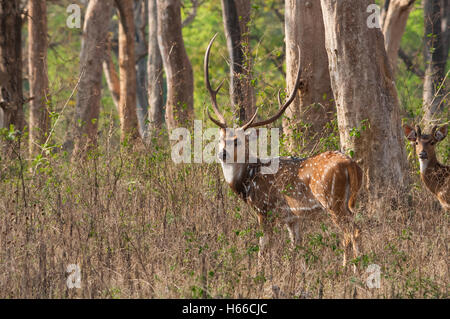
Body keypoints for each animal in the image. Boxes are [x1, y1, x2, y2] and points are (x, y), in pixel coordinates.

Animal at [204, 35, 362, 268]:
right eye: (220, 139)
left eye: (238, 141)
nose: (222, 153)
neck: (248, 181)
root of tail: (350, 165)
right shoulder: (292, 217)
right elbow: (297, 247)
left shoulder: (264, 210)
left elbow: (263, 249)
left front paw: (261, 273)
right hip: (351, 200)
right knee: (352, 228)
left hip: (332, 200)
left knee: (351, 231)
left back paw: (351, 268)